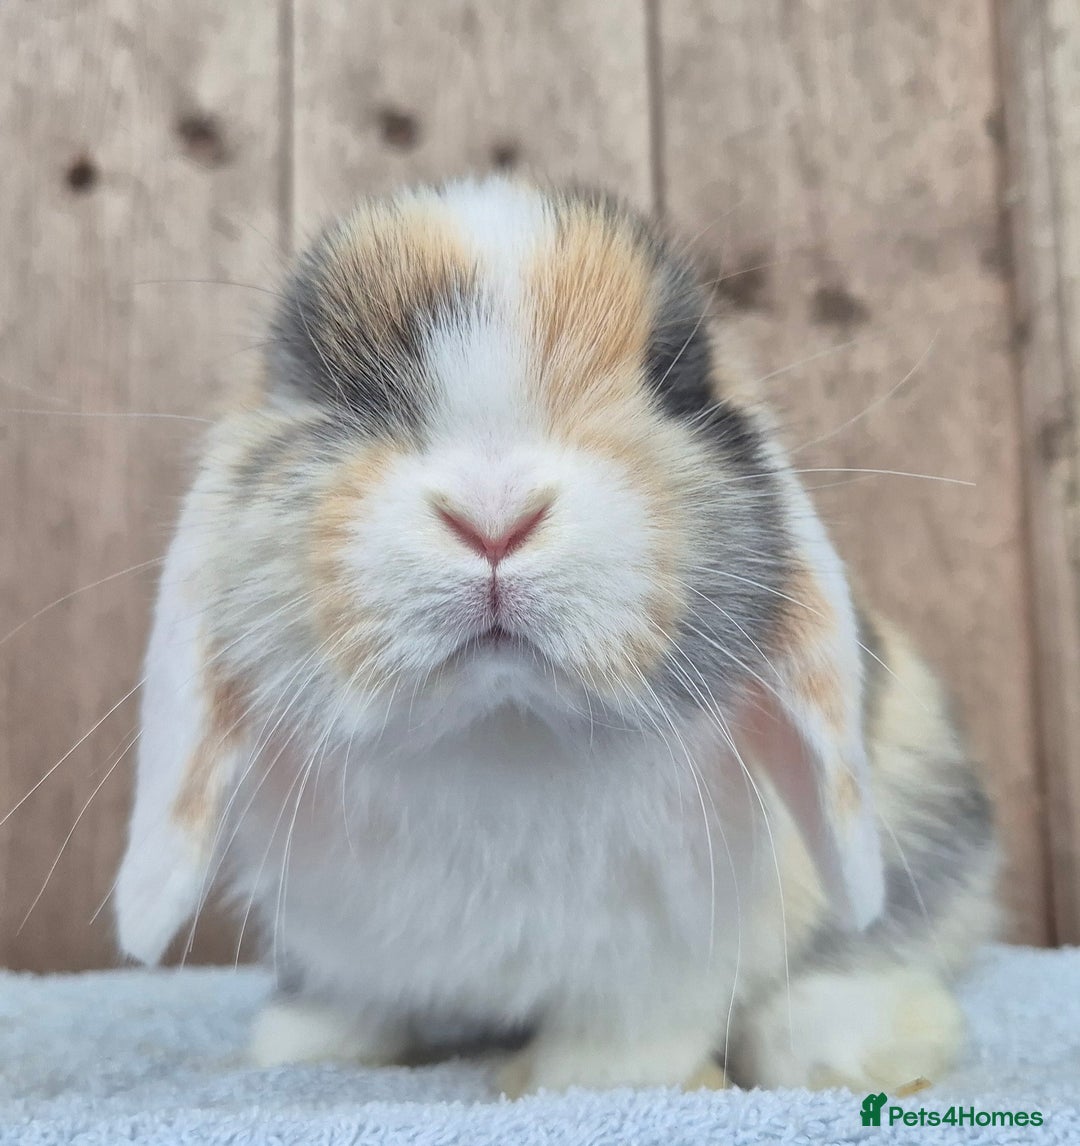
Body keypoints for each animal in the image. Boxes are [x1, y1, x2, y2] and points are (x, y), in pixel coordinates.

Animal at [114, 176, 999, 1095]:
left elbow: (635, 1026)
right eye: (339, 393)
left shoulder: (671, 950)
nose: (494, 516)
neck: (501, 732)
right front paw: (308, 1046)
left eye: (673, 378)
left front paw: (578, 1080)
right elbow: (345, 999)